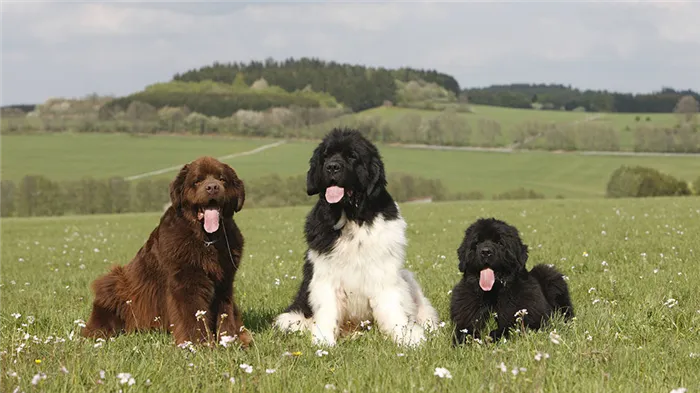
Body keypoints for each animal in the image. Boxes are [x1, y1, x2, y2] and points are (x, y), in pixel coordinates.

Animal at [82, 155, 252, 346]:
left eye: (222, 179)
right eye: (197, 181)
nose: (212, 187)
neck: (206, 239)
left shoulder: (224, 281)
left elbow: (226, 312)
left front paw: (231, 341)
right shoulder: (185, 281)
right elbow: (192, 315)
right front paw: (198, 344)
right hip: (114, 282)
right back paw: (99, 332)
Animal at [274, 127, 438, 344]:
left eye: (352, 156)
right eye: (325, 156)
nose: (332, 167)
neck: (351, 218)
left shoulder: (384, 273)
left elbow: (393, 309)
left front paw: (407, 339)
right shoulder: (326, 277)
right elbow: (327, 311)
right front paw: (324, 343)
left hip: (407, 277)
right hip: (290, 318)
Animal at [448, 217, 576, 346]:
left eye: (500, 243)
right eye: (477, 243)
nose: (485, 252)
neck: (493, 293)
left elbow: (509, 327)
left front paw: (492, 337)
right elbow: (465, 329)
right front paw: (463, 342)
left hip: (549, 274)